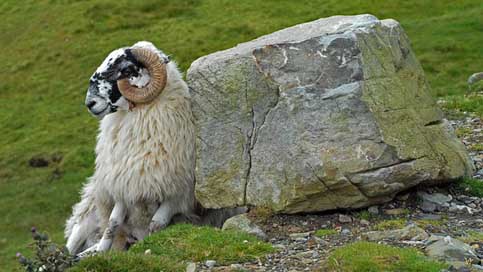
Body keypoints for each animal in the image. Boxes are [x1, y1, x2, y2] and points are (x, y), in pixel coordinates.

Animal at [65, 41, 244, 256]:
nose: (90, 103)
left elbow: (155, 225)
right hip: (89, 212)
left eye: (126, 69)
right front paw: (100, 252)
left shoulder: (177, 194)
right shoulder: (124, 184)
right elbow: (112, 224)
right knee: (74, 241)